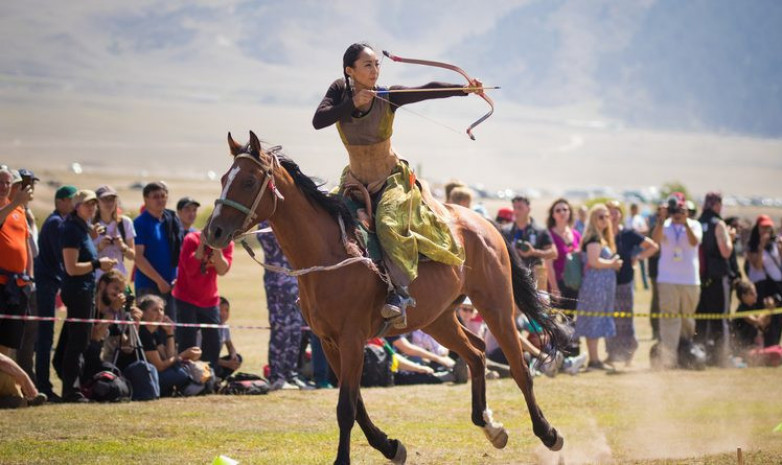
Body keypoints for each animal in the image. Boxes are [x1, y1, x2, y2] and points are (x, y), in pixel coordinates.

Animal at [205, 131, 568, 464]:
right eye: (223, 179)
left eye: (248, 181)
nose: (214, 232)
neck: (329, 253)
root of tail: (483, 222)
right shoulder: (330, 343)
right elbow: (356, 405)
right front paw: (390, 446)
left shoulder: (351, 340)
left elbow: (346, 407)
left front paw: (346, 458)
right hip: (438, 319)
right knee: (477, 352)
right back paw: (491, 427)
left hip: (496, 305)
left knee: (519, 366)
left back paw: (548, 433)